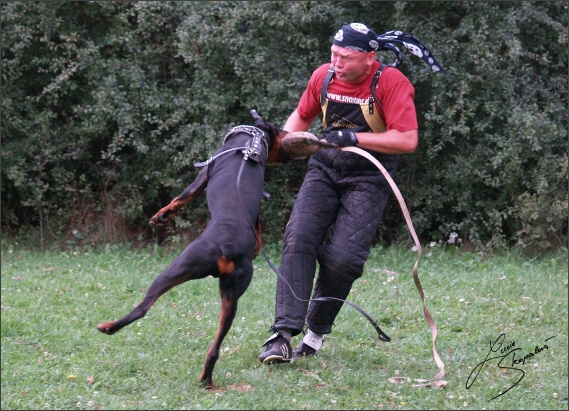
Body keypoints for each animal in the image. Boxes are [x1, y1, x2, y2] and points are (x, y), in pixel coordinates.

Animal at [98, 112, 280, 390]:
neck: (252, 138)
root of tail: (227, 247)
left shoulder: (202, 175)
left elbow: (180, 198)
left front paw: (160, 217)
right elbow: (259, 224)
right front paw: (258, 245)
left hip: (177, 265)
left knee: (142, 308)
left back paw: (108, 327)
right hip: (227, 291)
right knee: (216, 344)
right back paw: (206, 378)